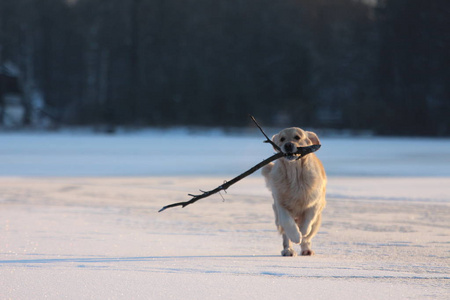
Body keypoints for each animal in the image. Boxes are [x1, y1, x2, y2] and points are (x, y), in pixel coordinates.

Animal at [260, 126, 326, 255]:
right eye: (282, 139)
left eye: (297, 137)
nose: (288, 145)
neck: (295, 174)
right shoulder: (280, 203)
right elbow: (287, 222)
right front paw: (296, 235)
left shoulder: (316, 201)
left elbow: (309, 218)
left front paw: (302, 231)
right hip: (277, 218)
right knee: (285, 235)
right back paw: (288, 250)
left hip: (317, 222)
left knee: (308, 237)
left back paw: (306, 249)